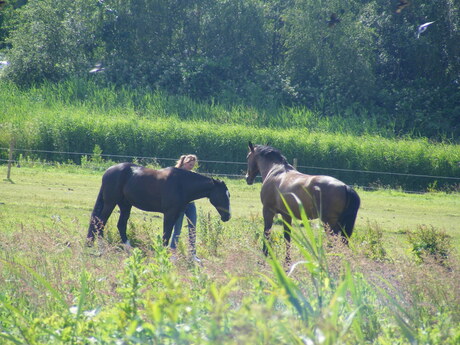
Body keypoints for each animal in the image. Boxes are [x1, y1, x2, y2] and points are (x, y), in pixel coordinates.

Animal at [87, 162, 230, 246]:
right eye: (223, 195)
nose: (227, 216)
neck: (182, 184)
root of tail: (108, 171)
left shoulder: (176, 214)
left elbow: (171, 234)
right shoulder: (169, 214)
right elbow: (166, 235)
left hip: (125, 205)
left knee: (120, 225)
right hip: (110, 203)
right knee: (100, 222)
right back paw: (102, 247)